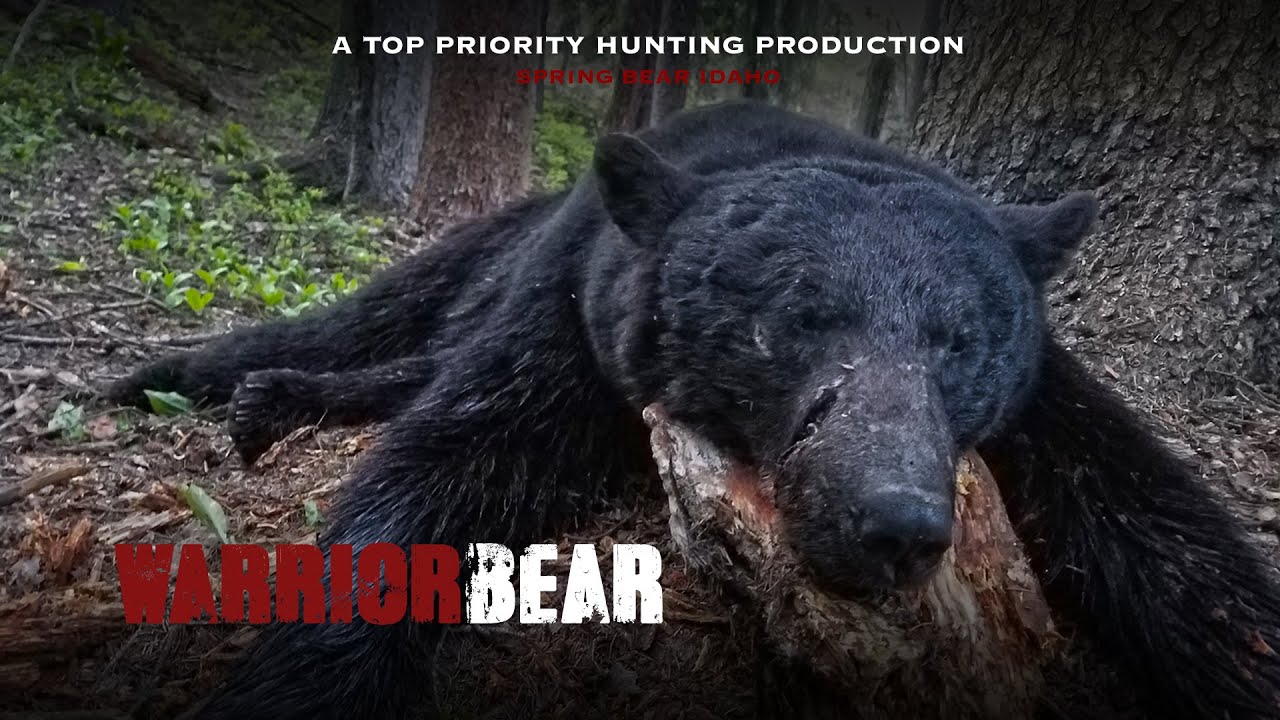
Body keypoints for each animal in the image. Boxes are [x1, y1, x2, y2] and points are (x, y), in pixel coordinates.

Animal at [111, 101, 1280, 719]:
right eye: (797, 321)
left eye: (957, 344)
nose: (894, 522)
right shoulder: (581, 317)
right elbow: (443, 459)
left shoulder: (1046, 401)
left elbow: (1168, 539)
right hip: (502, 243)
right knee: (381, 318)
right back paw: (192, 376)